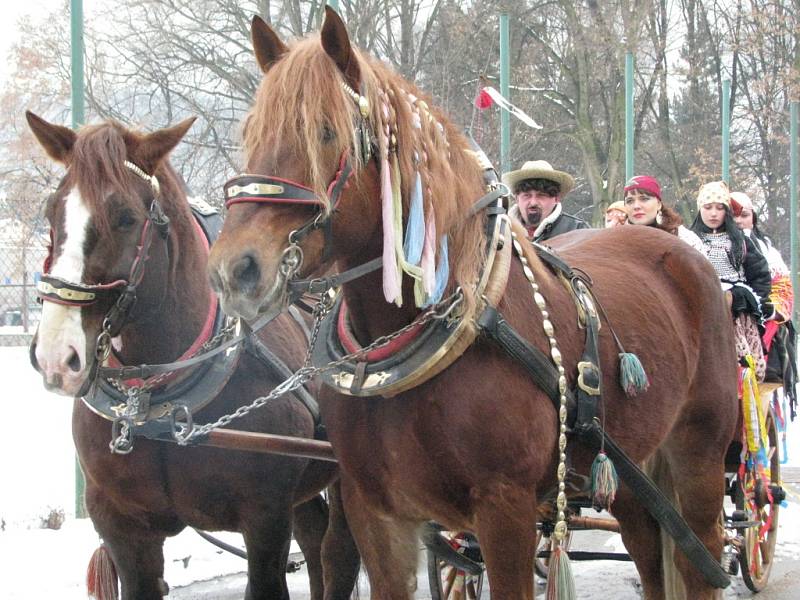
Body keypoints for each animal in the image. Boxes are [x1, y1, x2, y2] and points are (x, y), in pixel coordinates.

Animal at [27, 112, 360, 600]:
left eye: (126, 218)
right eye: (52, 213)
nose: (56, 354)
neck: (158, 402)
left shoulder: (265, 518)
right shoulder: (122, 529)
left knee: (338, 554)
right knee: (315, 538)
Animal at [206, 10, 736, 600]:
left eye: (325, 131)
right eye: (252, 134)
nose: (235, 269)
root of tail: (677, 247)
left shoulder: (504, 508)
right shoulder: (375, 512)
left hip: (698, 450)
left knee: (699, 555)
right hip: (623, 467)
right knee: (647, 546)